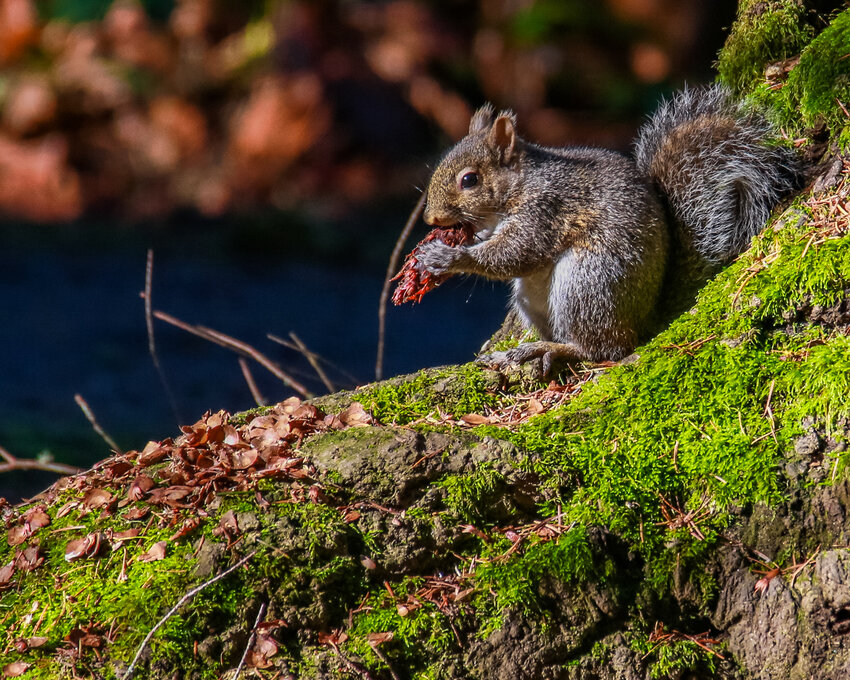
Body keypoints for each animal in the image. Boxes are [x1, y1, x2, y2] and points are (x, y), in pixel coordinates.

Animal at [415, 85, 801, 373]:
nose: (431, 220)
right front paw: (470, 240)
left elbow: (516, 253)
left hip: (587, 282)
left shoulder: (545, 210)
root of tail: (646, 316)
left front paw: (448, 257)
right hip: (535, 297)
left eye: (469, 180)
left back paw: (547, 349)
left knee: (602, 349)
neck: (522, 184)